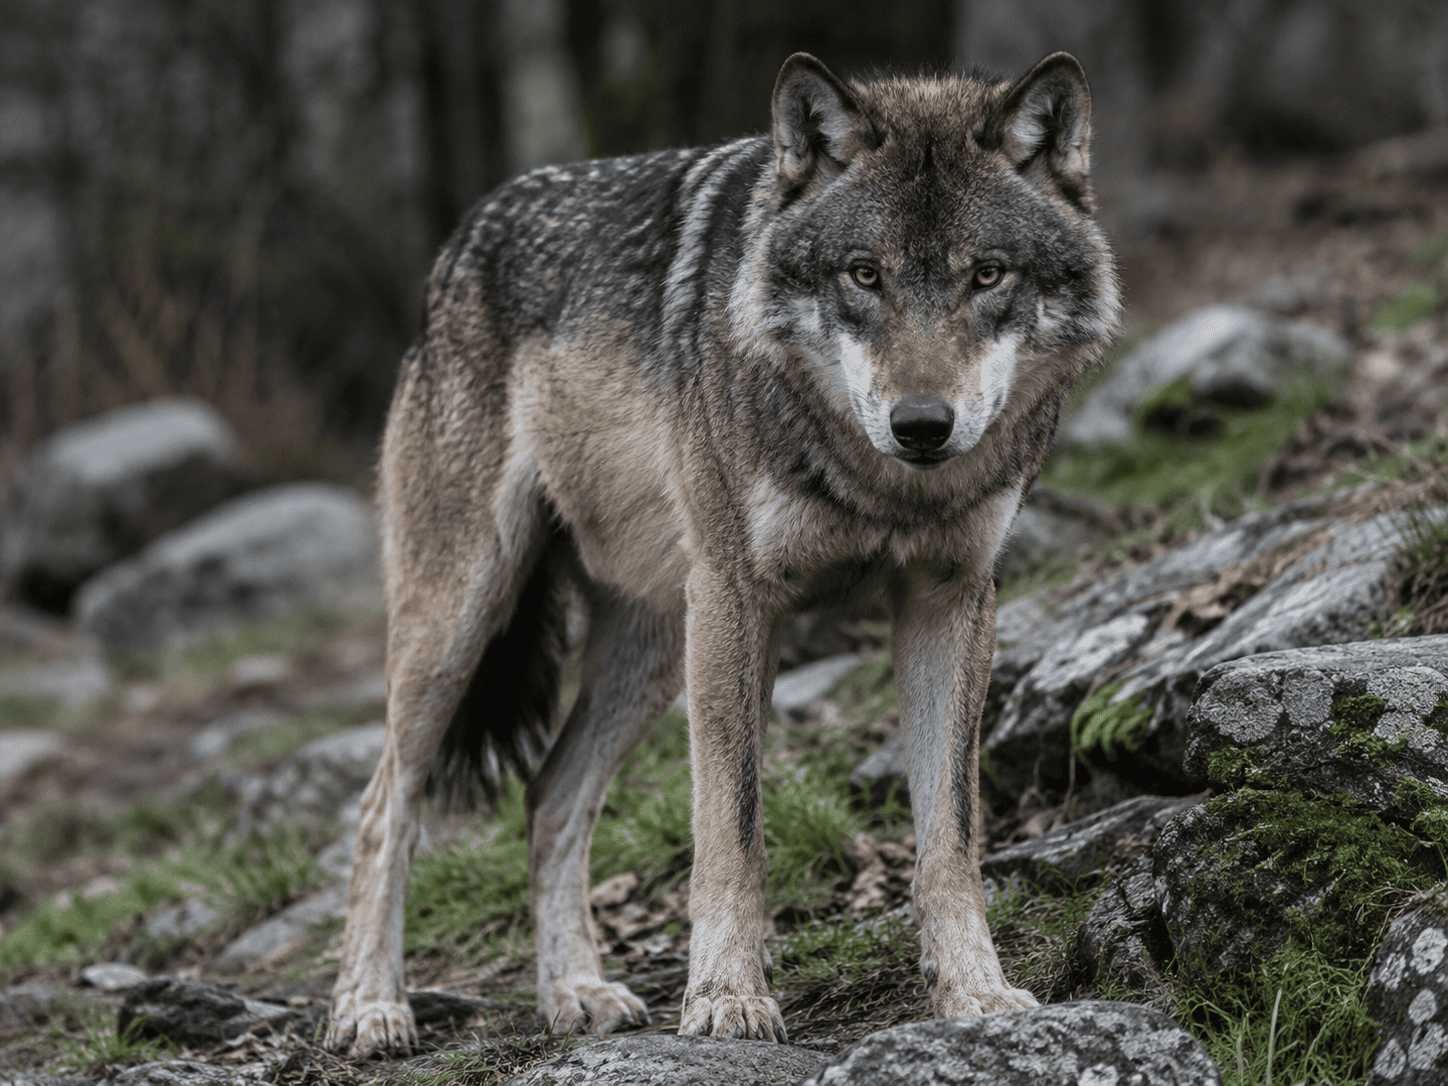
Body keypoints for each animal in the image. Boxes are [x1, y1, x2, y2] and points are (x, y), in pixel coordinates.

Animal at [324, 50, 1120, 1055]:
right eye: (864, 275)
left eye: (987, 275)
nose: (922, 425)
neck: (883, 487)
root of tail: (462, 235)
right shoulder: (740, 601)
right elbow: (732, 830)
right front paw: (727, 1000)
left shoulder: (952, 600)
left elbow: (952, 834)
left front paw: (975, 992)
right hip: (463, 621)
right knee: (382, 805)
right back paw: (369, 1005)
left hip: (654, 646)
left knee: (549, 795)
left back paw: (574, 990)